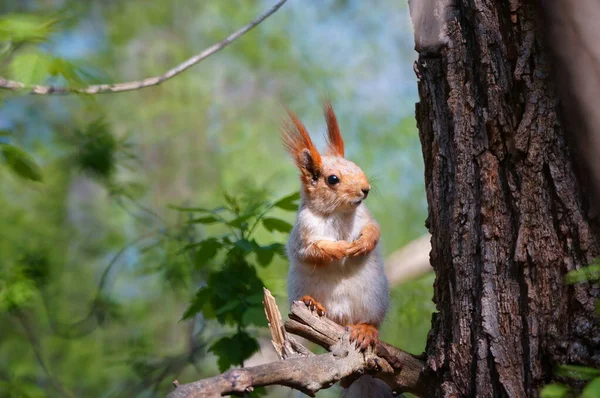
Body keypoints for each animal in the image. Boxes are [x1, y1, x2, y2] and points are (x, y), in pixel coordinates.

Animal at [280, 102, 390, 394]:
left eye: (357, 166)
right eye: (332, 179)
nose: (365, 189)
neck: (338, 214)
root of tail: (341, 320)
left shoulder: (366, 217)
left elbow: (374, 231)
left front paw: (362, 244)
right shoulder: (303, 234)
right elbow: (313, 251)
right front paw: (340, 249)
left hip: (373, 298)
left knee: (370, 321)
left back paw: (365, 329)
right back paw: (313, 303)